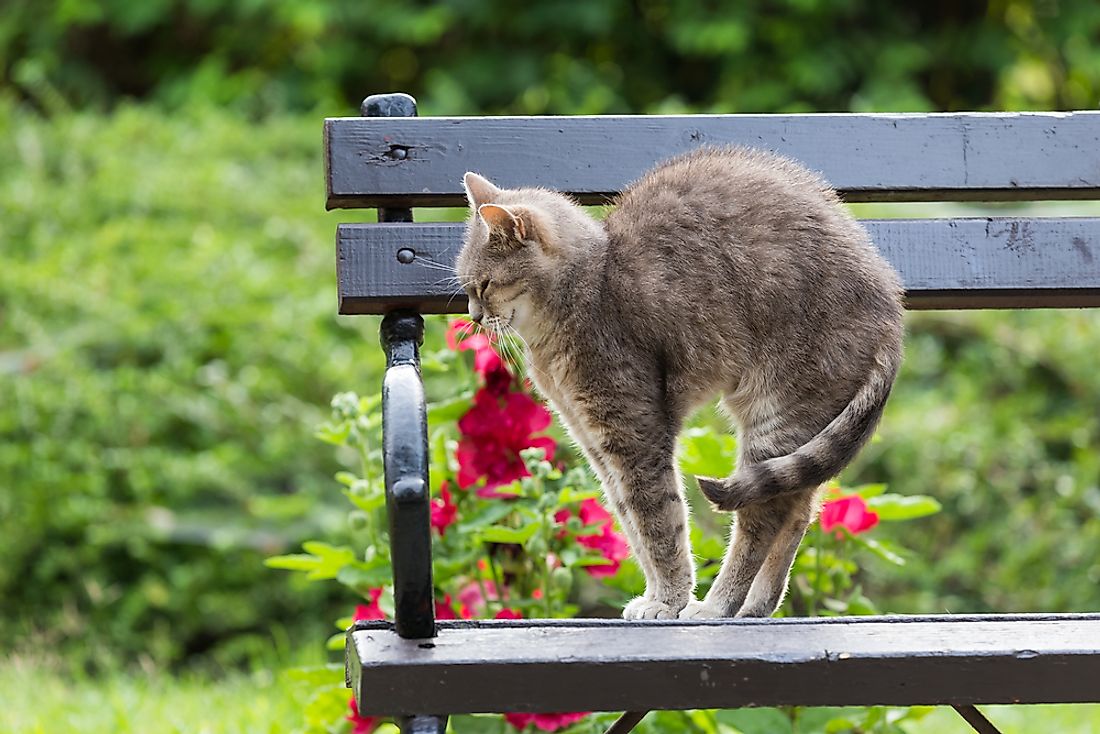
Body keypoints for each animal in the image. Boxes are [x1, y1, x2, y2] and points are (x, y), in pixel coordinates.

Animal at [455, 149, 902, 620]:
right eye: (467, 289)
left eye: (484, 285)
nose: (473, 317)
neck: (591, 281)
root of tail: (891, 308)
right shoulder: (595, 442)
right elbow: (631, 522)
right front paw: (655, 596)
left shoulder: (634, 433)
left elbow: (658, 524)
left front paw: (670, 600)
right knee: (796, 510)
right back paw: (756, 606)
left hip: (778, 414)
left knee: (762, 517)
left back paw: (718, 605)